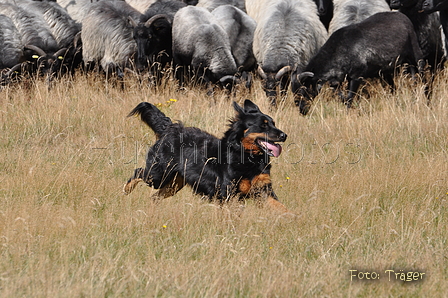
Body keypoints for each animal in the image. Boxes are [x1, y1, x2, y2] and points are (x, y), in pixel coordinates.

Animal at [123, 100, 290, 212]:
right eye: (263, 125)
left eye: (274, 123)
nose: (284, 135)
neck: (247, 156)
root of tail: (169, 128)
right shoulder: (228, 194)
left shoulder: (264, 191)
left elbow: (282, 208)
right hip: (159, 175)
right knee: (138, 172)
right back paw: (126, 190)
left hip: (174, 183)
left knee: (154, 197)